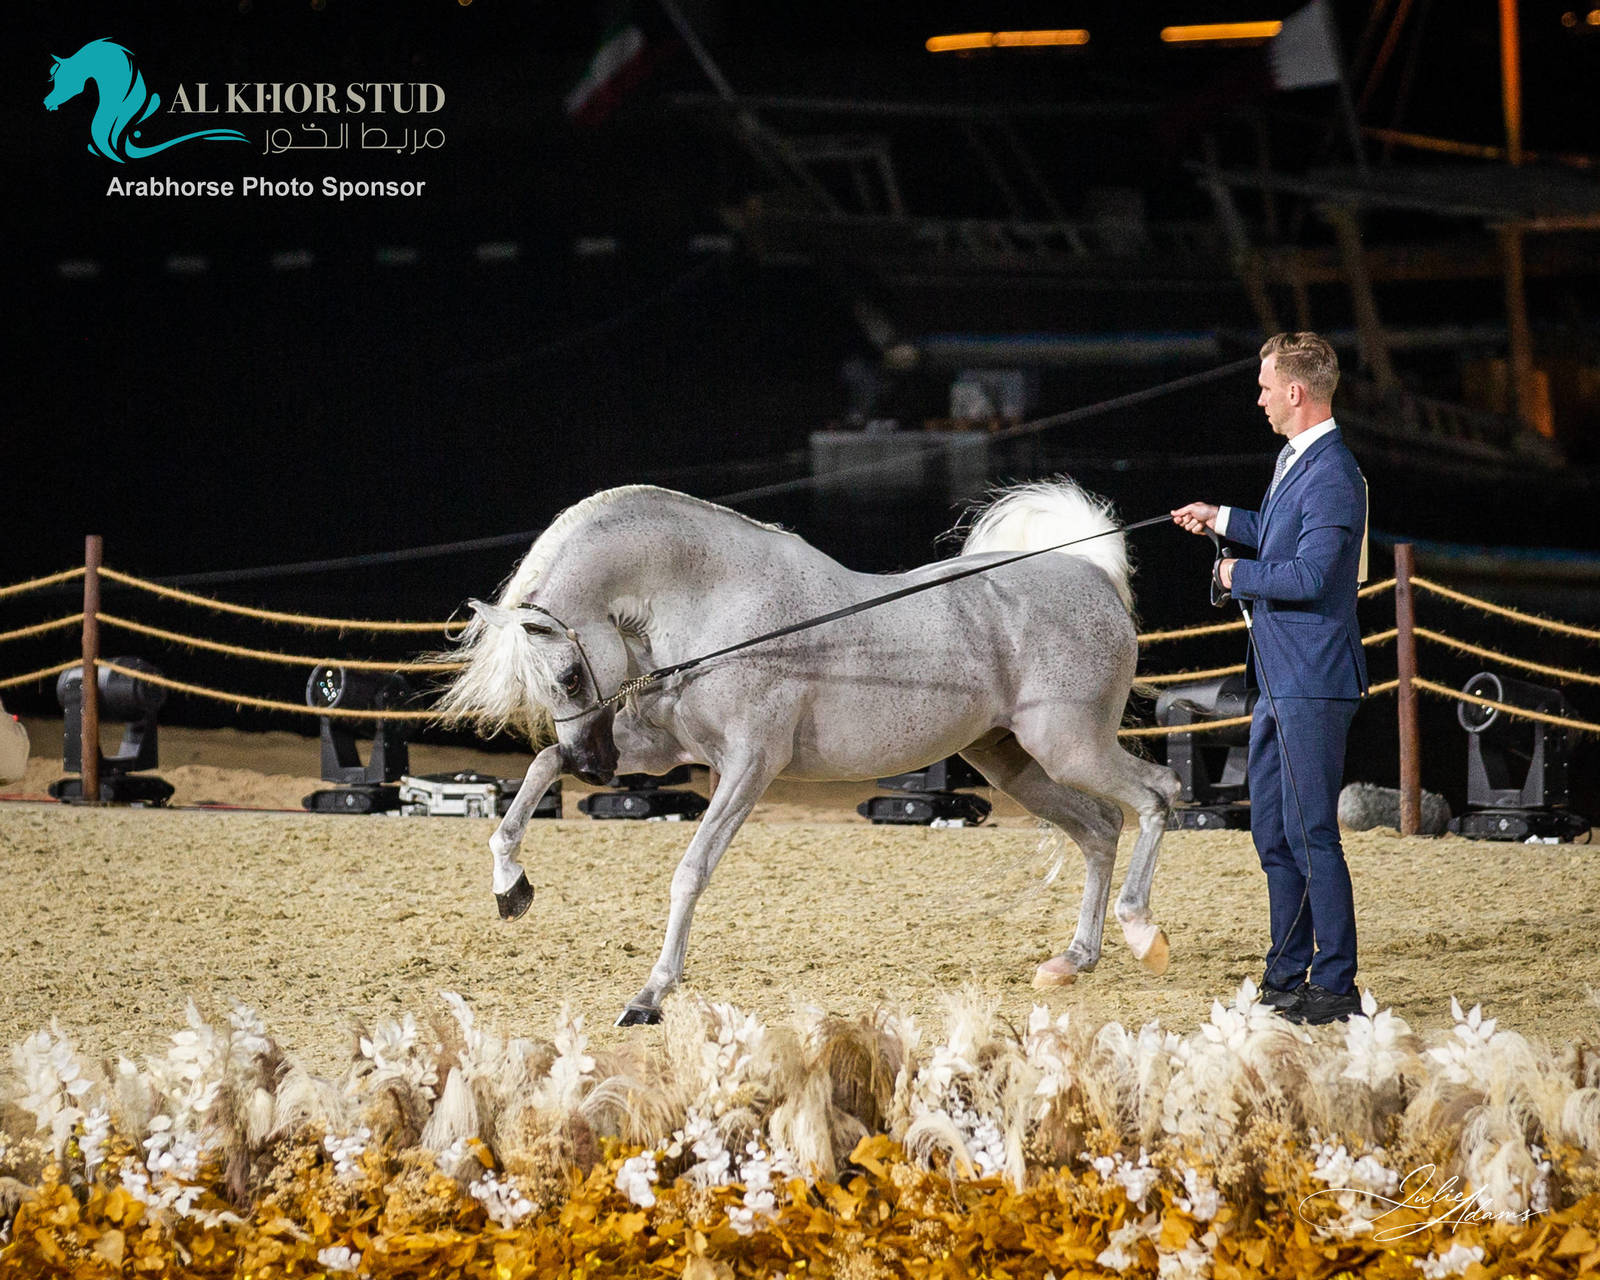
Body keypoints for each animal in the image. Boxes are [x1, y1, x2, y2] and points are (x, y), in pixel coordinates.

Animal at [438, 480, 1181, 1026]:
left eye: (567, 676)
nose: (593, 767)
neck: (717, 602)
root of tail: (1093, 578)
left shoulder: (748, 766)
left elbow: (690, 871)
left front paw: (650, 995)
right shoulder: (662, 748)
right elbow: (540, 769)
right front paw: (511, 888)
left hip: (1070, 747)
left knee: (1158, 794)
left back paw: (1143, 932)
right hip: (1015, 763)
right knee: (1100, 828)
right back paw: (1073, 960)